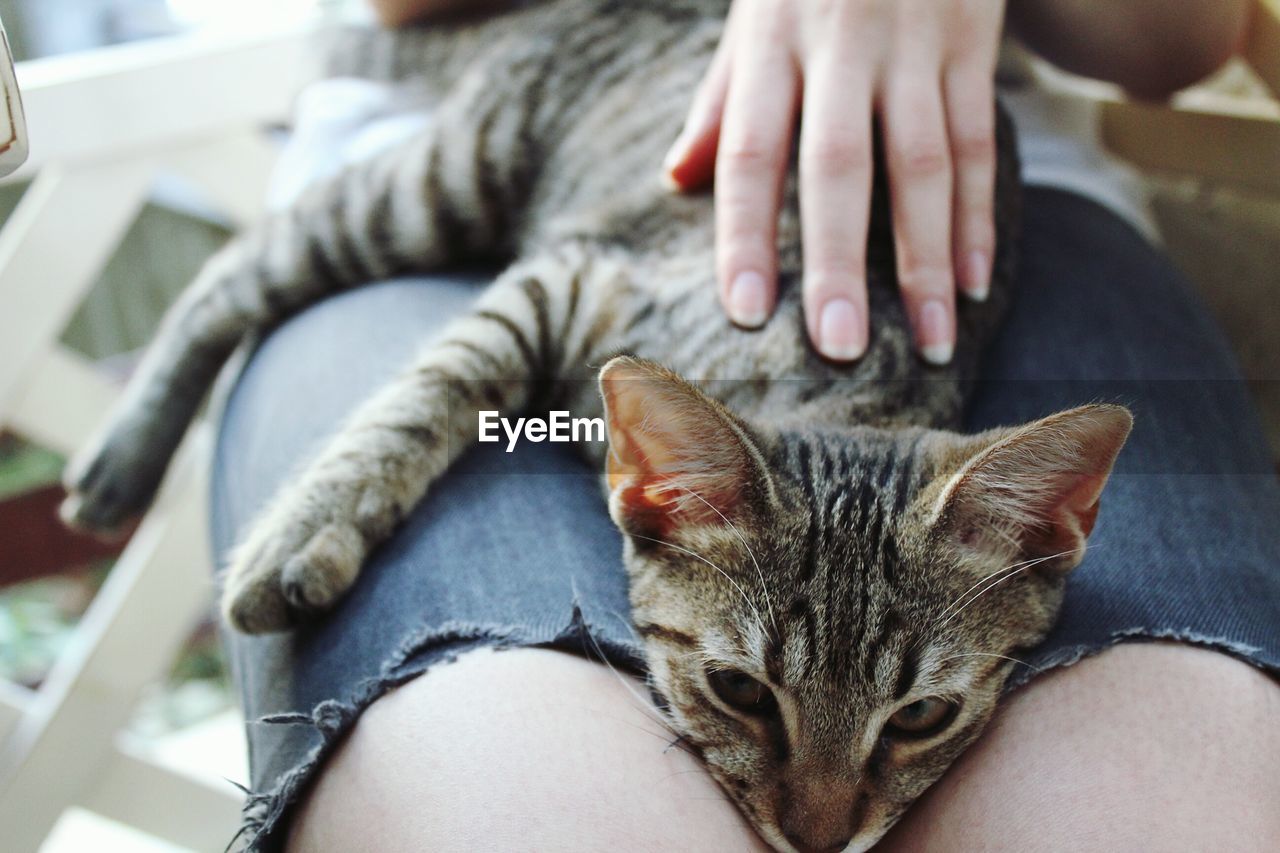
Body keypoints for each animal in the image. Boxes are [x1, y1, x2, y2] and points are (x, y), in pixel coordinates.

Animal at [57, 3, 1131, 845]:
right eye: (741, 691)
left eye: (923, 716)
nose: (821, 839)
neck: (840, 377)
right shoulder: (573, 273)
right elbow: (434, 384)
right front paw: (310, 524)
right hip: (448, 178)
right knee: (236, 265)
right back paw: (126, 455)